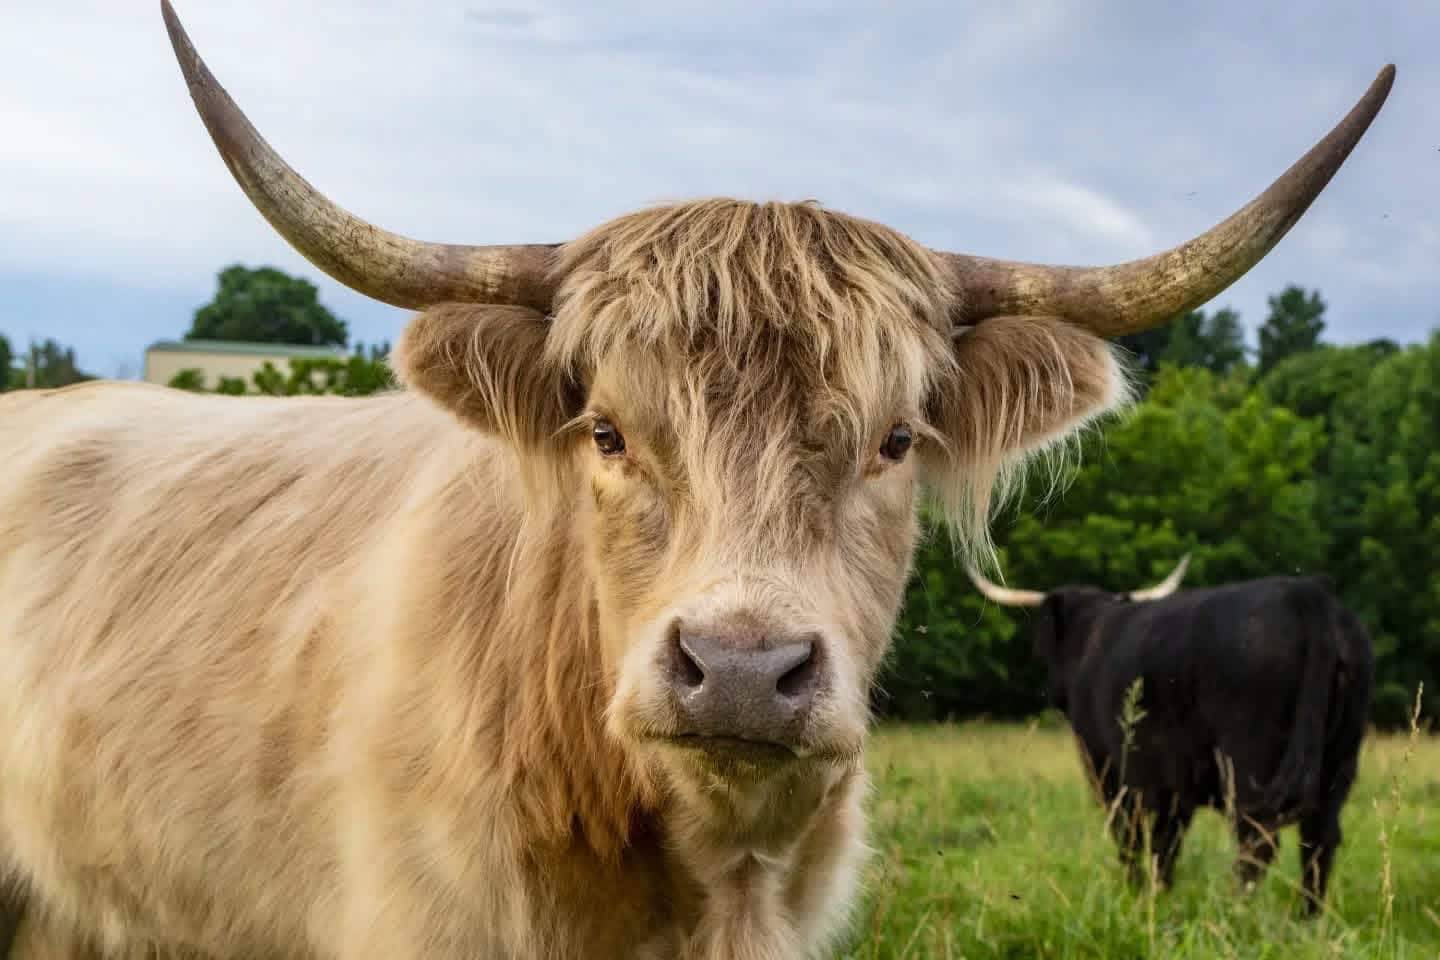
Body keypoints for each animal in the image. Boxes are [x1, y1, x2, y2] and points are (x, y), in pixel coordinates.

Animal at [967, 557, 1374, 914]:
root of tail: (1305, 592)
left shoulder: (1113, 772)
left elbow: (1134, 840)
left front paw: (1139, 895)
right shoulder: (1174, 785)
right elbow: (1166, 845)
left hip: (1250, 763)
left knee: (1257, 841)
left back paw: (1236, 912)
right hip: (1338, 763)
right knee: (1318, 841)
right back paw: (1308, 918)